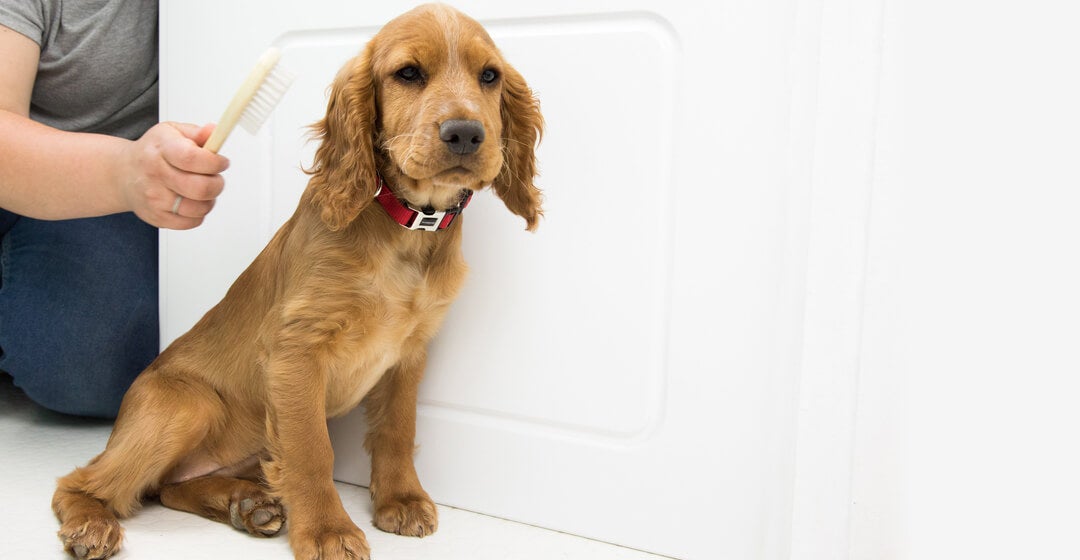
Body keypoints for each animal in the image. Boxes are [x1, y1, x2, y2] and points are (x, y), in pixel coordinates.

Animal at [50, 5, 540, 560]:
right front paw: (328, 530)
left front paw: (400, 499)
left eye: (489, 76)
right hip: (186, 405)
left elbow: (397, 427)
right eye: (409, 73)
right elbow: (310, 449)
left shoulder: (409, 352)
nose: (465, 134)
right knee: (83, 482)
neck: (409, 225)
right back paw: (93, 524)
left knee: (170, 486)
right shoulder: (296, 349)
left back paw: (247, 503)